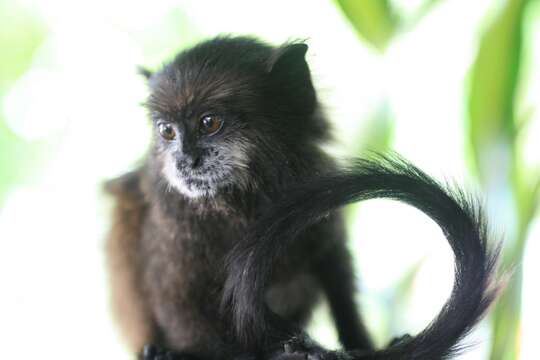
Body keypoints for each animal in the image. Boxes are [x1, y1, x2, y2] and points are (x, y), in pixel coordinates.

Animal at [105, 34, 502, 360]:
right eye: (167, 131)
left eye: (209, 123)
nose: (184, 160)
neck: (242, 205)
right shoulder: (174, 228)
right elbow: (180, 306)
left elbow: (335, 273)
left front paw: (359, 343)